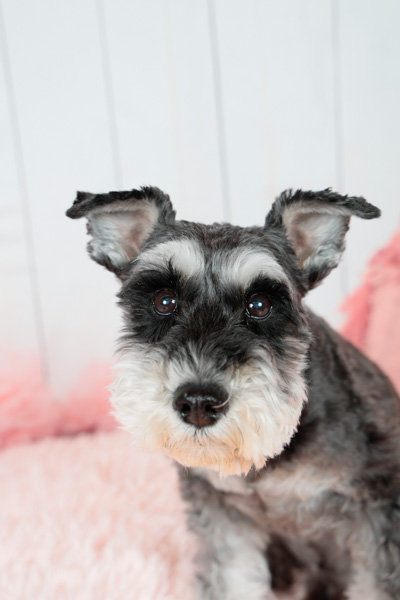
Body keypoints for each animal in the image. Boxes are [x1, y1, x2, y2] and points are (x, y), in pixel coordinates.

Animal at [67, 187, 400, 599]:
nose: (198, 403)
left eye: (260, 304)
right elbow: (233, 578)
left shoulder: (378, 512)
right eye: (163, 300)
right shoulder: (223, 513)